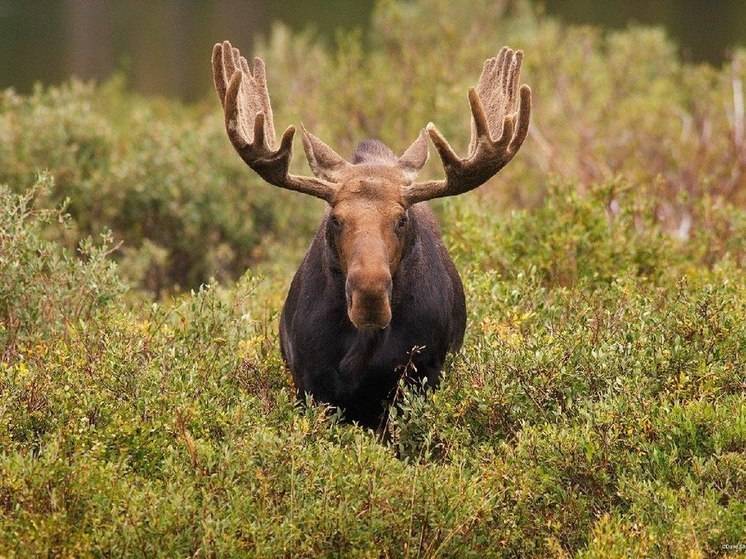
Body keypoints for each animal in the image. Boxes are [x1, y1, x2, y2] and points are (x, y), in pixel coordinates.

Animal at [211, 41, 528, 426]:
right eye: (335, 218)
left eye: (402, 219)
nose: (370, 295)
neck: (361, 349)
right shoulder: (309, 383)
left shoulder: (421, 378)